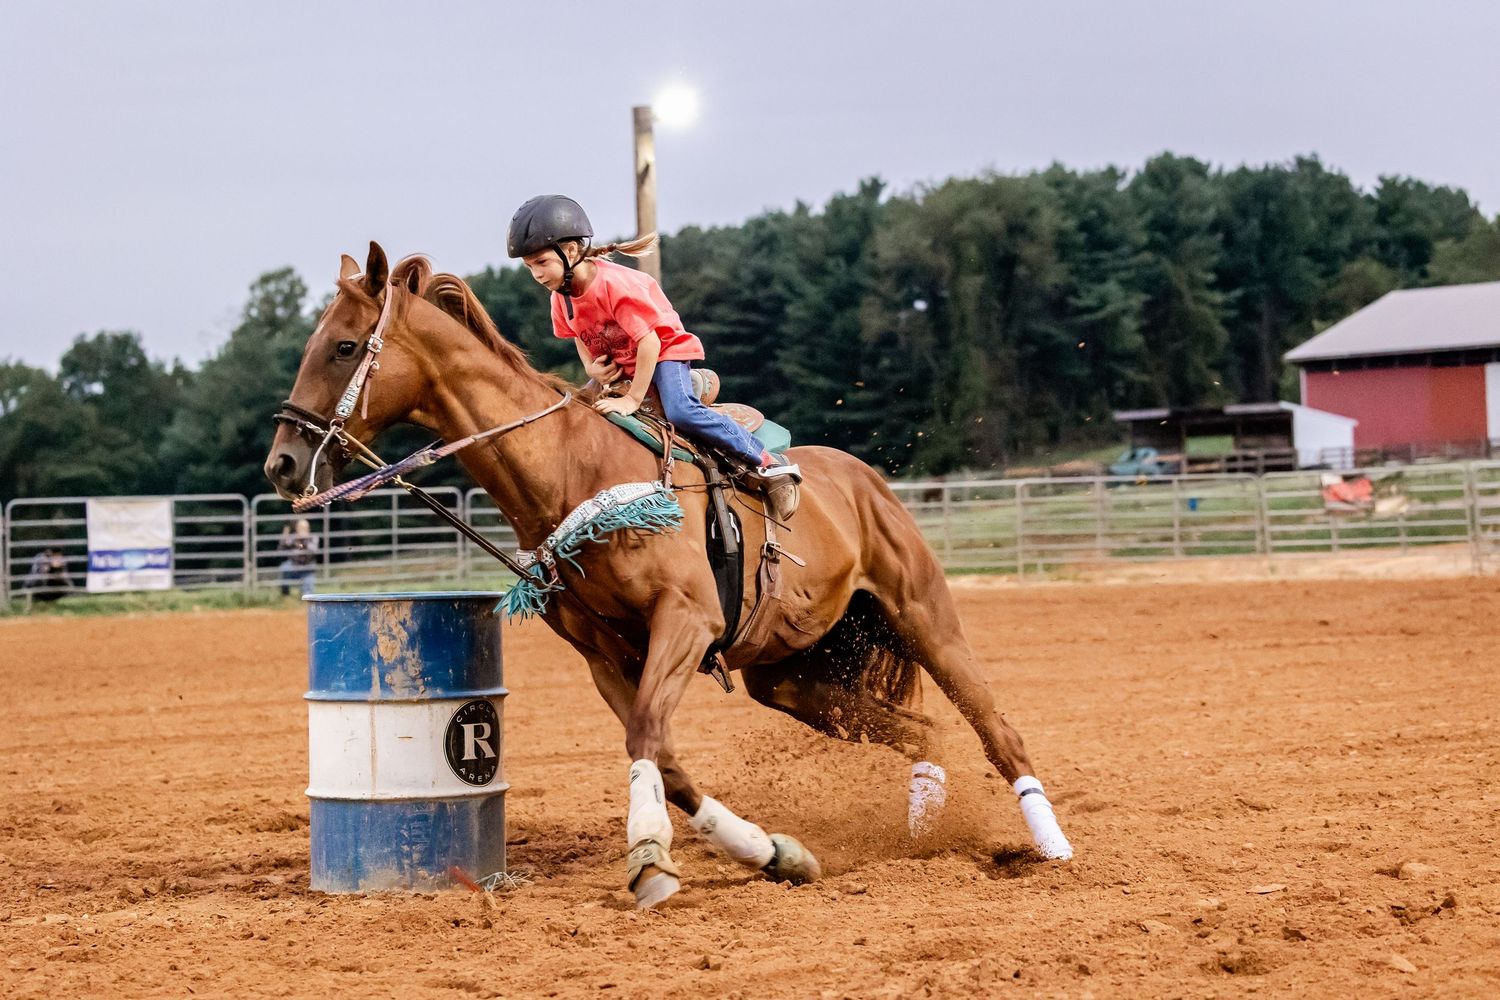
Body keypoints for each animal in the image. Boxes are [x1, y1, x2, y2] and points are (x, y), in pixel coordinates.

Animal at [264, 242, 1074, 907]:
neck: (574, 470)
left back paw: (1052, 845)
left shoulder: (685, 621)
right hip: (792, 675)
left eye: (343, 346)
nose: (281, 465)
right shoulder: (605, 656)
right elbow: (665, 758)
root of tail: (863, 479)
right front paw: (773, 854)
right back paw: (922, 831)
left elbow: (649, 735)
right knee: (921, 730)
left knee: (995, 727)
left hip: (924, 615)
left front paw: (651, 862)